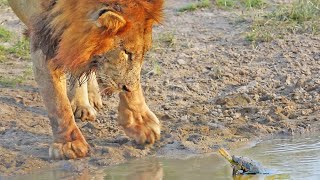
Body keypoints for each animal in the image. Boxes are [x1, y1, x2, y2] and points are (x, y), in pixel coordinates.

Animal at [8, 0, 164, 160]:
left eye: (144, 52)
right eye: (126, 52)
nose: (127, 88)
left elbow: (132, 80)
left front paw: (141, 122)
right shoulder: (45, 37)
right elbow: (58, 102)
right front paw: (69, 144)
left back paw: (86, 101)